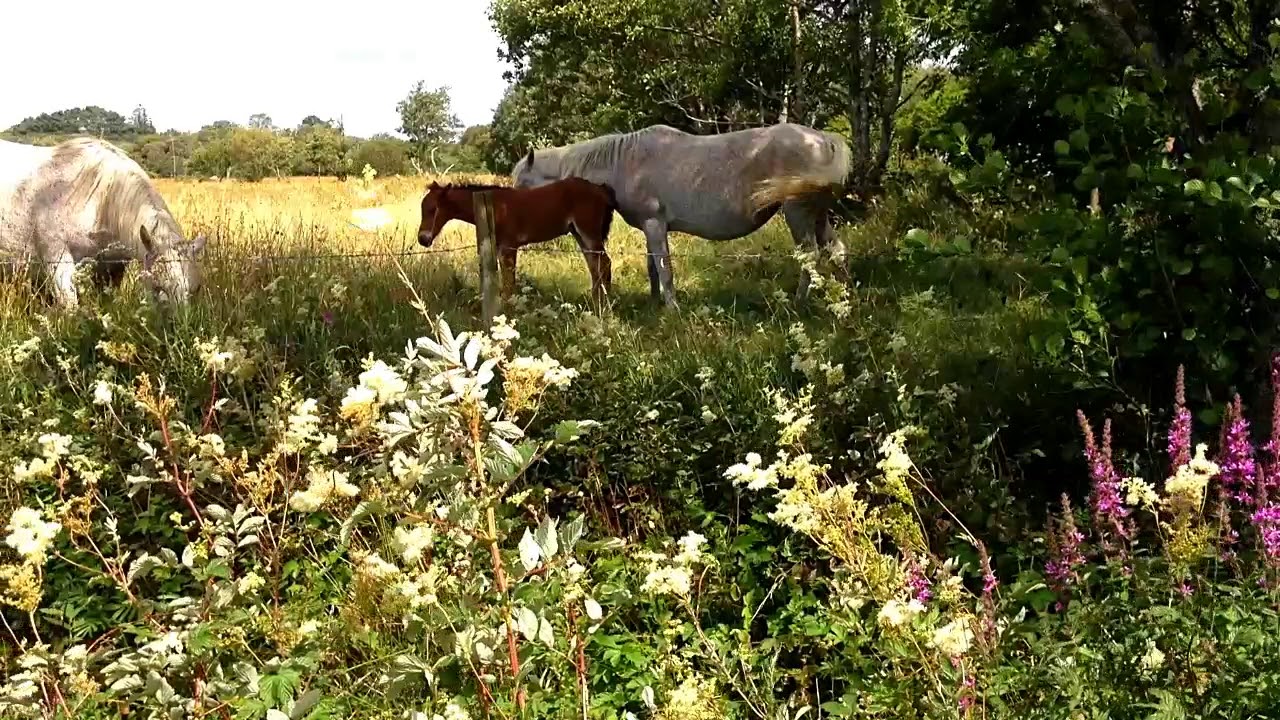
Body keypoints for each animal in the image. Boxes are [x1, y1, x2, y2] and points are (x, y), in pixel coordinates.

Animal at [416, 178, 618, 305]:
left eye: (433, 209)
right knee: (595, 265)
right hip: (579, 233)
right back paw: (596, 302)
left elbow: (508, 283)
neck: (495, 208)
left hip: (589, 232)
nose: (422, 239)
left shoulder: (509, 247)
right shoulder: (499, 248)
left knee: (604, 263)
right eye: (422, 208)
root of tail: (600, 188)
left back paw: (604, 305)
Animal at [511, 123, 852, 308]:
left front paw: (672, 307)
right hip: (819, 215)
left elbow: (664, 269)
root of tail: (822, 140)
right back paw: (846, 298)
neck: (624, 163)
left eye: (522, 185)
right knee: (837, 251)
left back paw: (800, 301)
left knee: (810, 255)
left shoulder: (655, 224)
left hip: (798, 213)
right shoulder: (649, 228)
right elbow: (652, 267)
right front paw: (655, 303)